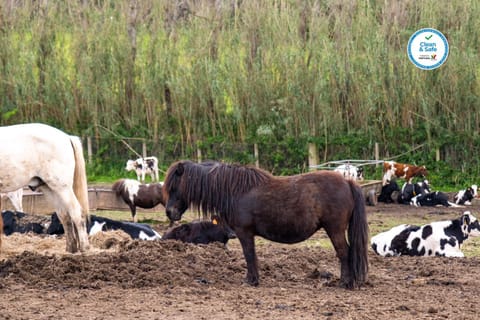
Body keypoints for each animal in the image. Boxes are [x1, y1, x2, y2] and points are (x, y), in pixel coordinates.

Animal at [163, 161, 370, 288]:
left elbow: (249, 255)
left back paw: (345, 283)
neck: (235, 191)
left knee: (344, 253)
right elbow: (252, 256)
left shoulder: (244, 232)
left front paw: (251, 281)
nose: (169, 213)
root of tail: (347, 181)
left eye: (174, 187)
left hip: (335, 229)